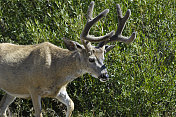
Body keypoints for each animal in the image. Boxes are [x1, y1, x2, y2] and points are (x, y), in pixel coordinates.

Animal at [0, 1, 136, 117]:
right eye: (91, 59)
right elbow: (39, 114)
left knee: (2, 108)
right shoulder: (33, 88)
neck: (54, 69)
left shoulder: (59, 90)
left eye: (103, 58)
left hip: (11, 90)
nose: (105, 75)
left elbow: (71, 104)